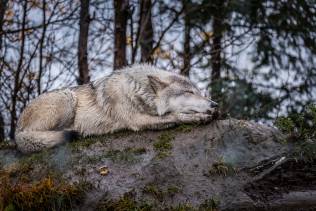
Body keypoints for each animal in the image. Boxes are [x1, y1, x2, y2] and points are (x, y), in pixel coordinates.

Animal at [14, 64, 217, 153]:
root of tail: (16, 132)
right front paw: (198, 118)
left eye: (200, 92)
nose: (214, 104)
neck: (138, 88)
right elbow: (174, 115)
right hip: (67, 97)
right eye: (189, 92)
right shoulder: (137, 120)